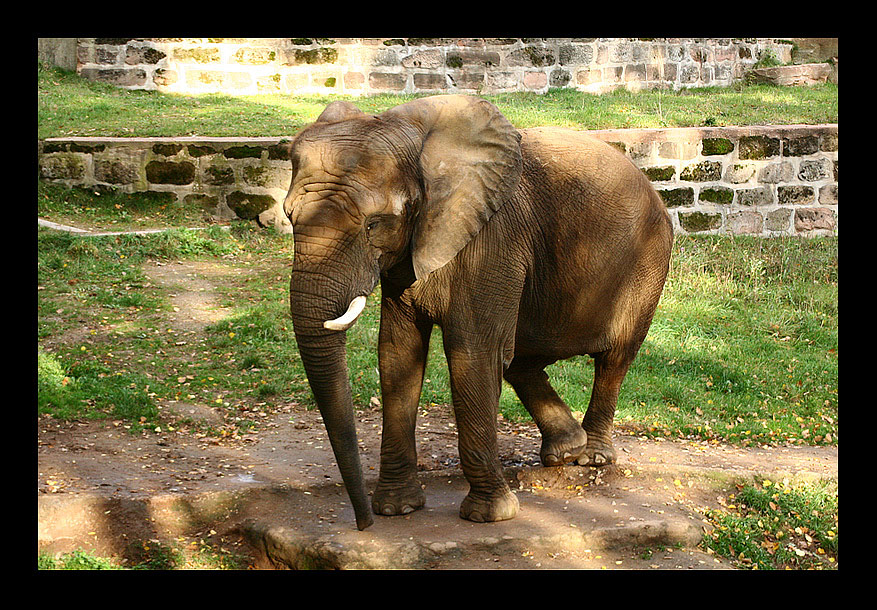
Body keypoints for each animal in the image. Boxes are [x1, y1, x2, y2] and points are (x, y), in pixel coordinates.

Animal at [280, 94, 672, 528]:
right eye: (289, 216)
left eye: (374, 225)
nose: (363, 523)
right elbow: (398, 353)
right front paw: (398, 509)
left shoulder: (493, 240)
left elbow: (473, 352)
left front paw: (491, 516)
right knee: (521, 357)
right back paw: (565, 451)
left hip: (647, 262)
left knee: (613, 358)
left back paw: (591, 457)